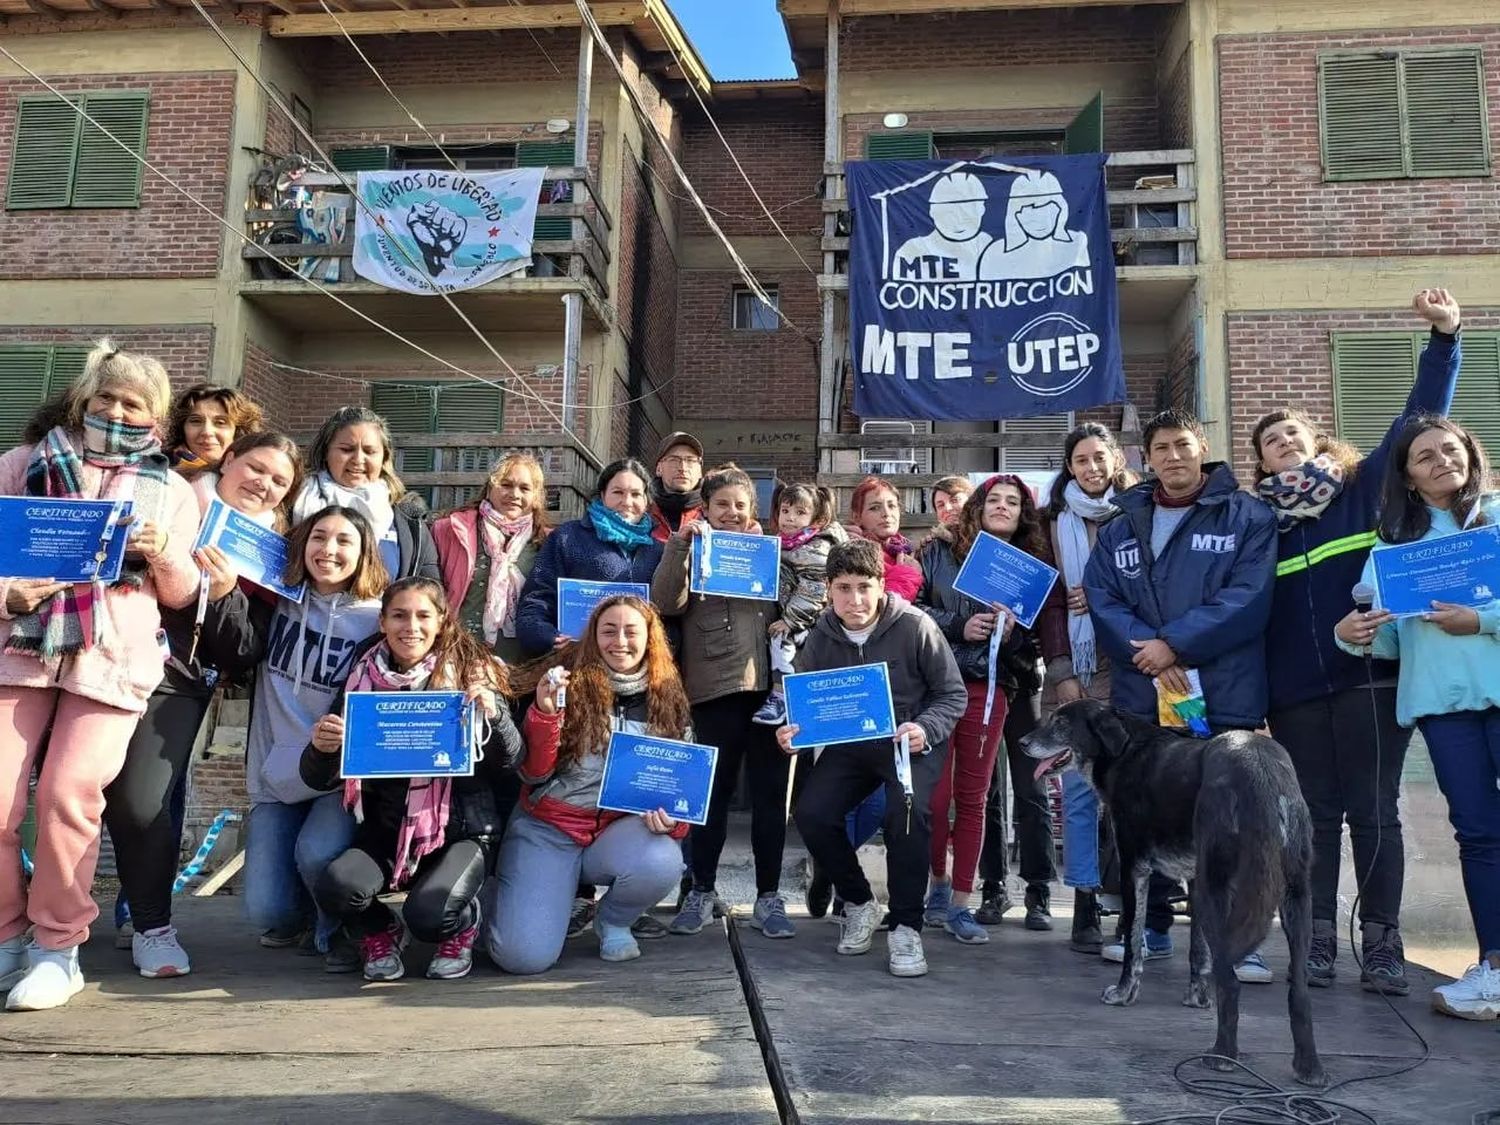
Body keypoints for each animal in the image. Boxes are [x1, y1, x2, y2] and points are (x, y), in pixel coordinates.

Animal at [1020, 702, 1326, 1086]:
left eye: (1061, 722)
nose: (1022, 742)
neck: (1125, 750)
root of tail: (1263, 770)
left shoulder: (1134, 868)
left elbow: (1133, 942)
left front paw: (1124, 993)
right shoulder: (1194, 879)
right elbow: (1198, 952)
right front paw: (1196, 997)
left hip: (1218, 895)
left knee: (1231, 982)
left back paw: (1222, 1054)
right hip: (1295, 897)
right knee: (1299, 989)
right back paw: (1309, 1066)